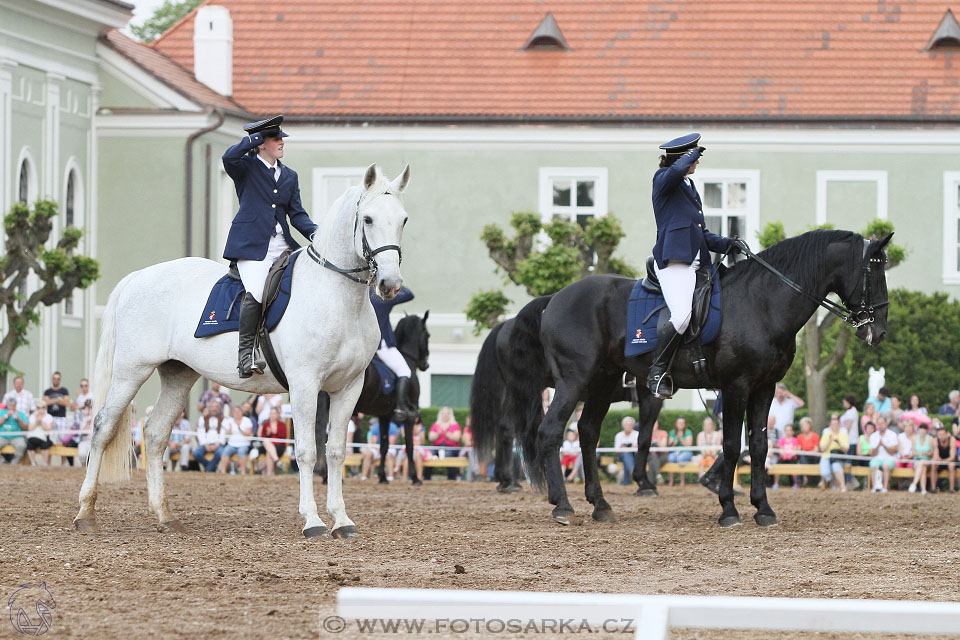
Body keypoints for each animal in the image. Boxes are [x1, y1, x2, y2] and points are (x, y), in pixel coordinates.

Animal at [72, 162, 408, 536]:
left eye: (404, 219)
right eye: (368, 219)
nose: (390, 284)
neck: (337, 297)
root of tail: (138, 277)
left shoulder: (348, 387)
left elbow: (334, 450)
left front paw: (342, 520)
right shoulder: (305, 385)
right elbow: (307, 451)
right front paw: (313, 520)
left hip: (178, 374)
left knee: (156, 434)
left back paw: (165, 516)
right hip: (131, 371)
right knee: (103, 427)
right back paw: (86, 513)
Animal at [314, 312, 430, 482]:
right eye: (427, 335)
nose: (425, 365)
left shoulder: (384, 416)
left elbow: (384, 446)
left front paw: (382, 477)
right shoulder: (409, 417)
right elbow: (409, 446)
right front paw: (415, 478)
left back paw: (324, 474)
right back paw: (325, 474)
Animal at [480, 230, 892, 524]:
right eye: (873, 271)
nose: (879, 331)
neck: (761, 301)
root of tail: (555, 298)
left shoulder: (765, 387)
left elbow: (758, 446)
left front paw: (763, 509)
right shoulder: (735, 387)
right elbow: (730, 444)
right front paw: (728, 508)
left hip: (600, 383)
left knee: (587, 433)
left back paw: (599, 504)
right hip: (572, 382)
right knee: (549, 432)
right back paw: (562, 505)